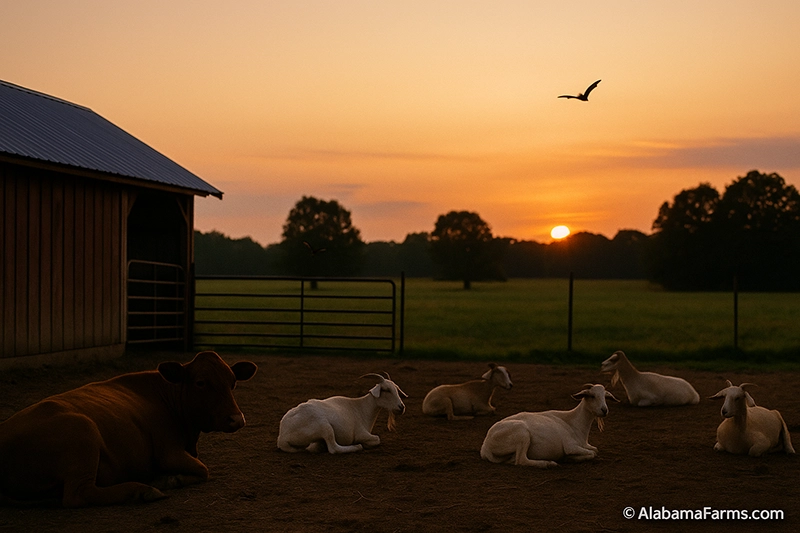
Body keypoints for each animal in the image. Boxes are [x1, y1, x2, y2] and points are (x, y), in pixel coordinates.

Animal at [0, 351, 257, 507]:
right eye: (201, 382)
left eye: (233, 382)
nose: (236, 419)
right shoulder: (168, 452)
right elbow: (203, 469)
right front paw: (168, 480)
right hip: (83, 432)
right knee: (79, 494)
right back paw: (142, 491)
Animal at [277, 373, 407, 454]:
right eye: (386, 390)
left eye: (396, 389)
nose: (401, 407)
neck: (360, 408)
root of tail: (282, 436)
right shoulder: (360, 434)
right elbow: (377, 439)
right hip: (325, 427)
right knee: (334, 448)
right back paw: (356, 447)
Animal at [480, 384, 618, 467]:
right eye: (592, 396)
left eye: (605, 397)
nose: (604, 410)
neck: (575, 424)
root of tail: (485, 446)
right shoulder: (571, 446)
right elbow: (593, 453)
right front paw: (570, 458)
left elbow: (595, 450)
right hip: (522, 433)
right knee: (521, 460)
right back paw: (548, 463)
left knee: (514, 460)